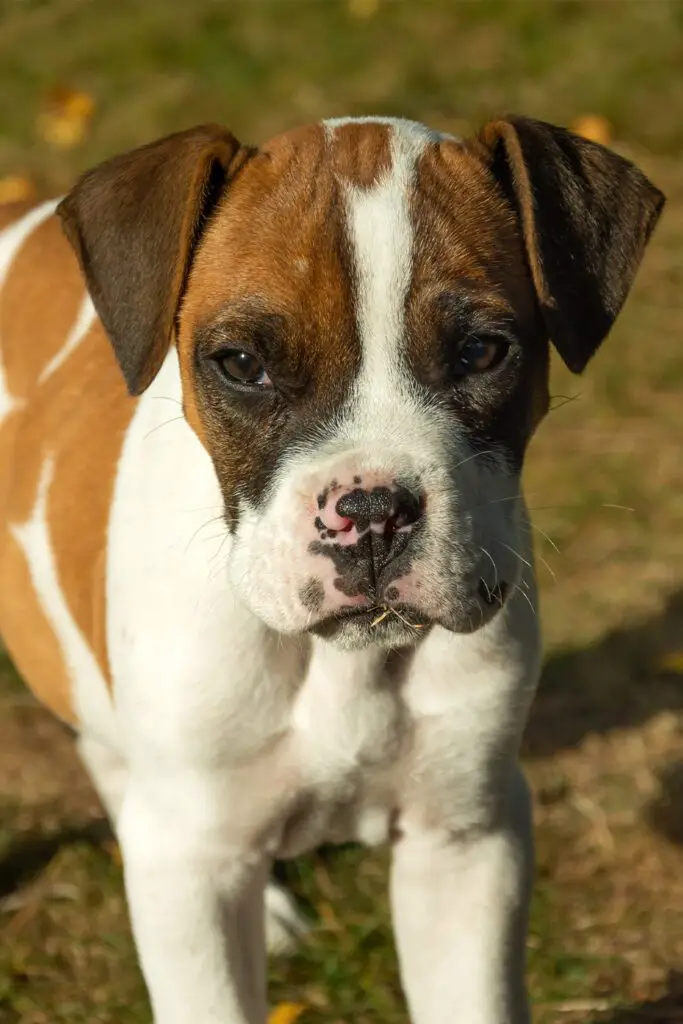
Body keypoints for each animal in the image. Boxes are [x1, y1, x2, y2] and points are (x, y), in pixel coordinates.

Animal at [0, 114, 663, 1024]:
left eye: (482, 352)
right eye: (241, 364)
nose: (373, 512)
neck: (342, 664)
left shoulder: (463, 842)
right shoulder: (194, 877)